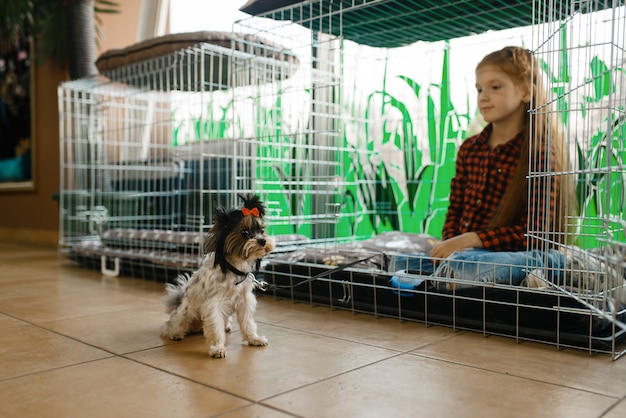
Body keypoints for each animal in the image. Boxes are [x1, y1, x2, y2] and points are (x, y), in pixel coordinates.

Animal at [162, 194, 274, 358]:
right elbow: (215, 328)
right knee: (172, 325)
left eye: (262, 229)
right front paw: (218, 348)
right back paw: (174, 333)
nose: (263, 240)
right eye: (244, 232)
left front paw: (254, 339)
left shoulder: (244, 300)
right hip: (184, 314)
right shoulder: (214, 304)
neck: (235, 267)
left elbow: (248, 323)